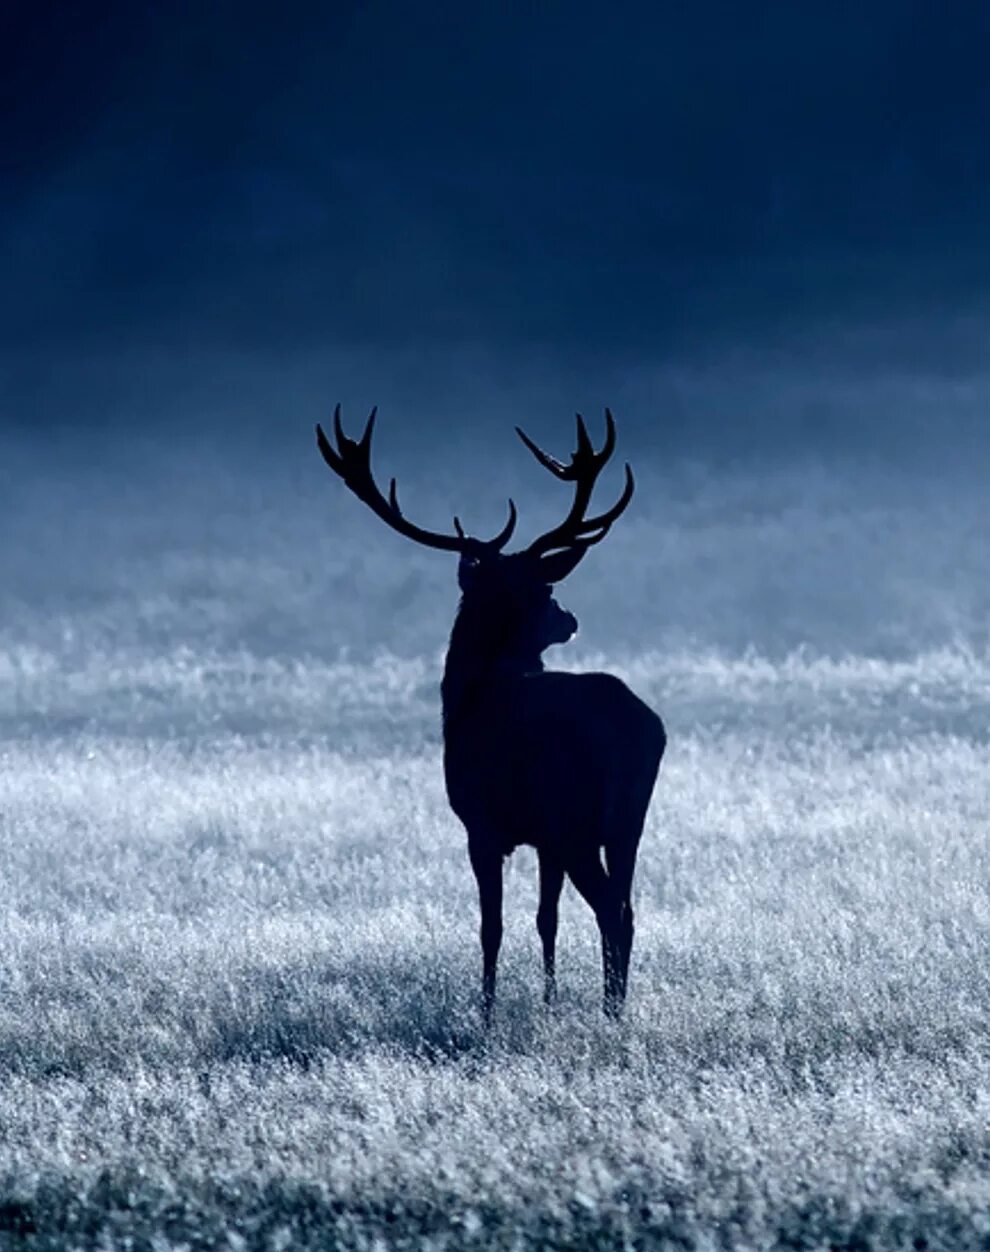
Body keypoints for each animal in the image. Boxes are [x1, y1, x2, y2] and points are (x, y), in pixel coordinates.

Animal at [317, 405, 665, 1021]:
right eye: (545, 590)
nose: (569, 619)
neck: (467, 696)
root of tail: (643, 728)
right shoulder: (543, 838)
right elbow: (546, 920)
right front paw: (548, 1000)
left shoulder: (481, 823)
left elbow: (491, 926)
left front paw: (485, 1011)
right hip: (628, 820)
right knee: (626, 907)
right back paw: (615, 1006)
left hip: (576, 817)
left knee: (610, 909)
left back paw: (611, 1012)